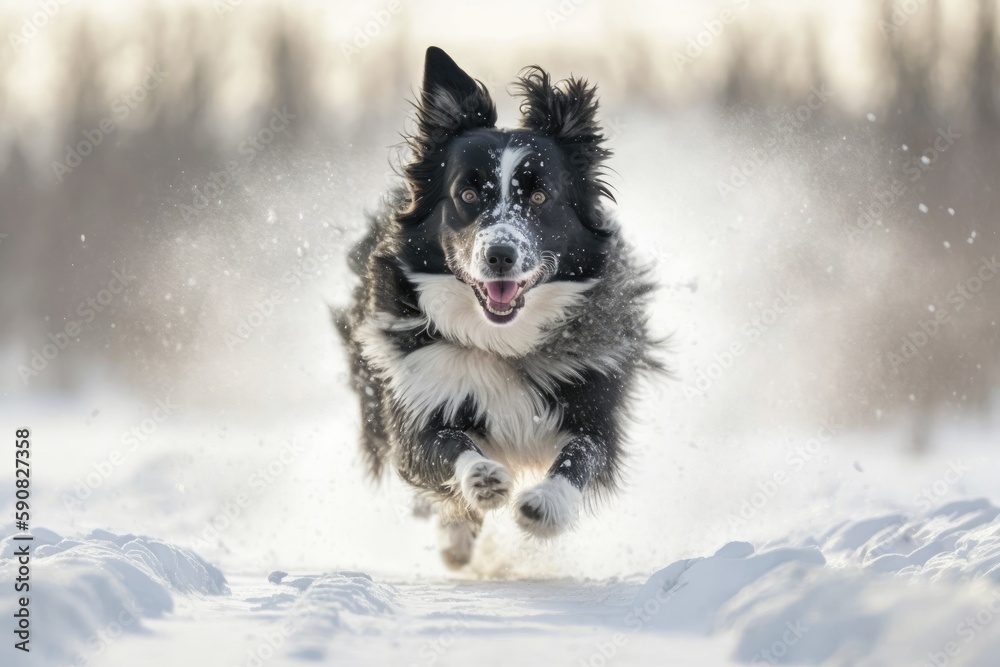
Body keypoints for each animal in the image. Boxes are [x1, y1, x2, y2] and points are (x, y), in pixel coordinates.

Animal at [338, 47, 664, 568]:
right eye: (468, 194)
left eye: (540, 195)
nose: (500, 255)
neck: (501, 339)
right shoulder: (416, 400)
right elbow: (447, 445)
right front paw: (482, 479)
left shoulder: (596, 396)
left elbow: (585, 453)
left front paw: (546, 505)